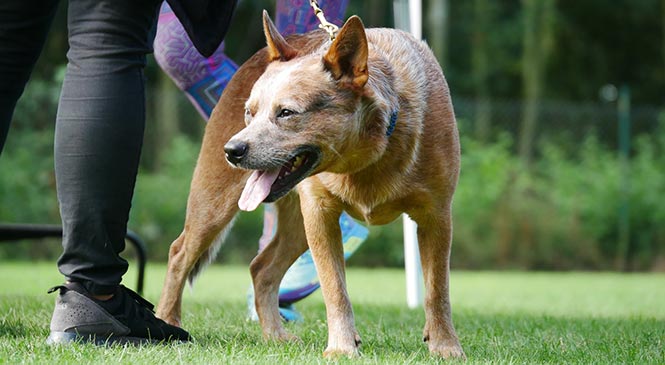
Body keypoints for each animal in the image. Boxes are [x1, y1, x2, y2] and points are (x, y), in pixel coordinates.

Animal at [157, 12, 462, 358]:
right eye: (250, 112)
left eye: (286, 112)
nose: (232, 150)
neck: (368, 158)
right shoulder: (320, 213)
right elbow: (335, 288)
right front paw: (342, 348)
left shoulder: (436, 216)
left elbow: (437, 290)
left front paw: (446, 346)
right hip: (217, 201)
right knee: (180, 252)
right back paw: (167, 321)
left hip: (295, 226)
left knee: (261, 268)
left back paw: (274, 336)